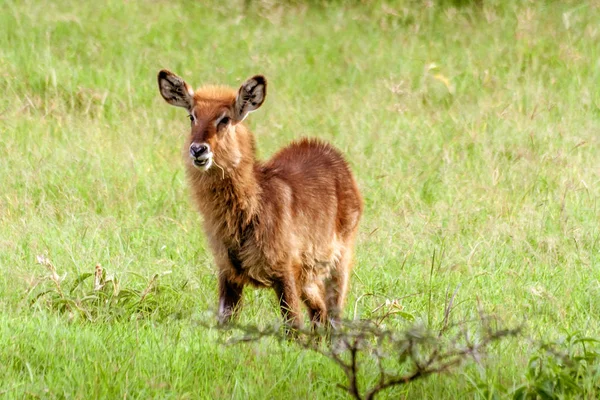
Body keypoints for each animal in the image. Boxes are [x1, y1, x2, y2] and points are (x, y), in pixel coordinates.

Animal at [157, 69, 364, 332]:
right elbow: (224, 323)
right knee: (320, 312)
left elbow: (293, 326)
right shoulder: (228, 272)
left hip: (339, 261)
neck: (251, 210)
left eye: (224, 119)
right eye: (191, 116)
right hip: (308, 276)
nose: (198, 149)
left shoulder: (285, 271)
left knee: (334, 315)